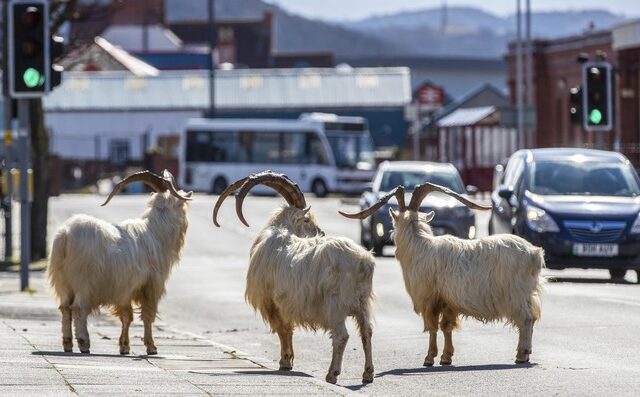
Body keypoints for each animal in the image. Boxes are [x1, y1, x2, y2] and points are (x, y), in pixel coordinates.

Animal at [48, 169, 191, 352]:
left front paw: (124, 346)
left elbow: (126, 316)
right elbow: (147, 315)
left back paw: (67, 344)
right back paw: (84, 342)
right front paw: (151, 347)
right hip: (84, 281)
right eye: (182, 206)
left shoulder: (125, 288)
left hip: (63, 281)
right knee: (79, 308)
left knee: (65, 307)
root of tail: (65, 236)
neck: (155, 232)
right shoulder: (151, 285)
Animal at [212, 171, 378, 384]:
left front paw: (285, 362)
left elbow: (282, 329)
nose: (321, 232)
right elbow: (288, 329)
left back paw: (332, 374)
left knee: (341, 336)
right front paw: (289, 360)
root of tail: (362, 261)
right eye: (307, 220)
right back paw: (368, 373)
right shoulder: (286, 303)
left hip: (335, 304)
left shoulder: (272, 302)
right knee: (367, 332)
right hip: (362, 303)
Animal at [342, 183, 544, 366]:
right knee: (532, 317)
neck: (419, 245)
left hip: (515, 294)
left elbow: (432, 327)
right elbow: (446, 327)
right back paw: (526, 353)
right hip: (526, 294)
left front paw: (429, 358)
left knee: (526, 319)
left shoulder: (429, 298)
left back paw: (521, 354)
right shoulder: (448, 301)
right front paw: (446, 357)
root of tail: (534, 253)